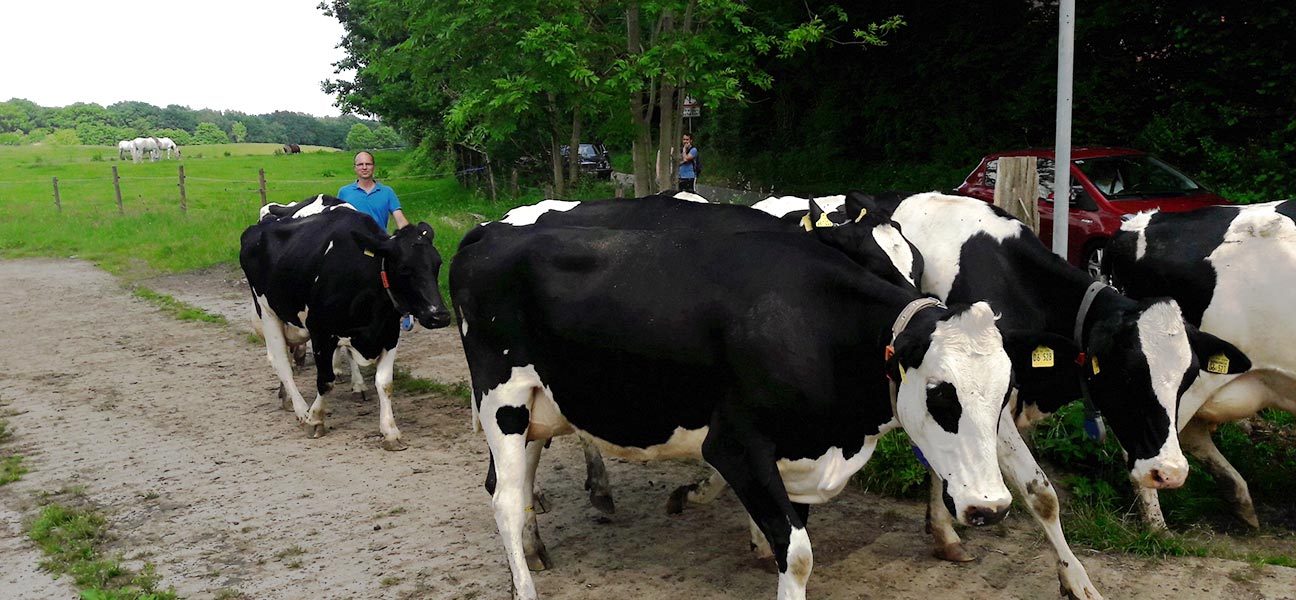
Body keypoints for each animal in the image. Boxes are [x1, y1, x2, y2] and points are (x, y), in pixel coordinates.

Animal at [238, 194, 451, 448]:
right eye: (404, 268)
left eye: (437, 264)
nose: (439, 315)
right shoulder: (321, 331)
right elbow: (325, 380)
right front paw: (315, 418)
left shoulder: (389, 332)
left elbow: (384, 382)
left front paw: (390, 431)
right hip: (268, 312)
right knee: (281, 362)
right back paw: (300, 410)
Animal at [453, 203, 1031, 600]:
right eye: (941, 395)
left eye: (1003, 394)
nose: (990, 508)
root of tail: (492, 232)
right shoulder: (735, 445)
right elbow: (797, 554)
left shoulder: (799, 453)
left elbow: (792, 539)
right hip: (501, 400)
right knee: (504, 500)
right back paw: (527, 585)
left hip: (538, 404)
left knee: (513, 484)